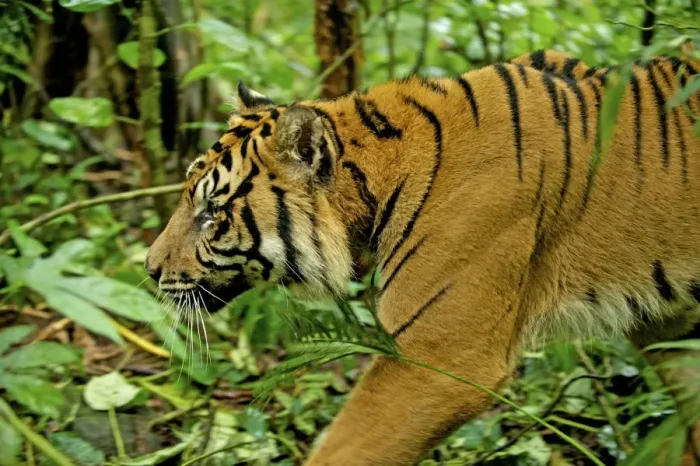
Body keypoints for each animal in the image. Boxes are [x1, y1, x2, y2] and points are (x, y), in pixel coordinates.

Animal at [146, 48, 700, 465]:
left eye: (212, 215)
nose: (149, 269)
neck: (379, 168)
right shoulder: (668, 330)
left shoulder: (438, 356)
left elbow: (346, 450)